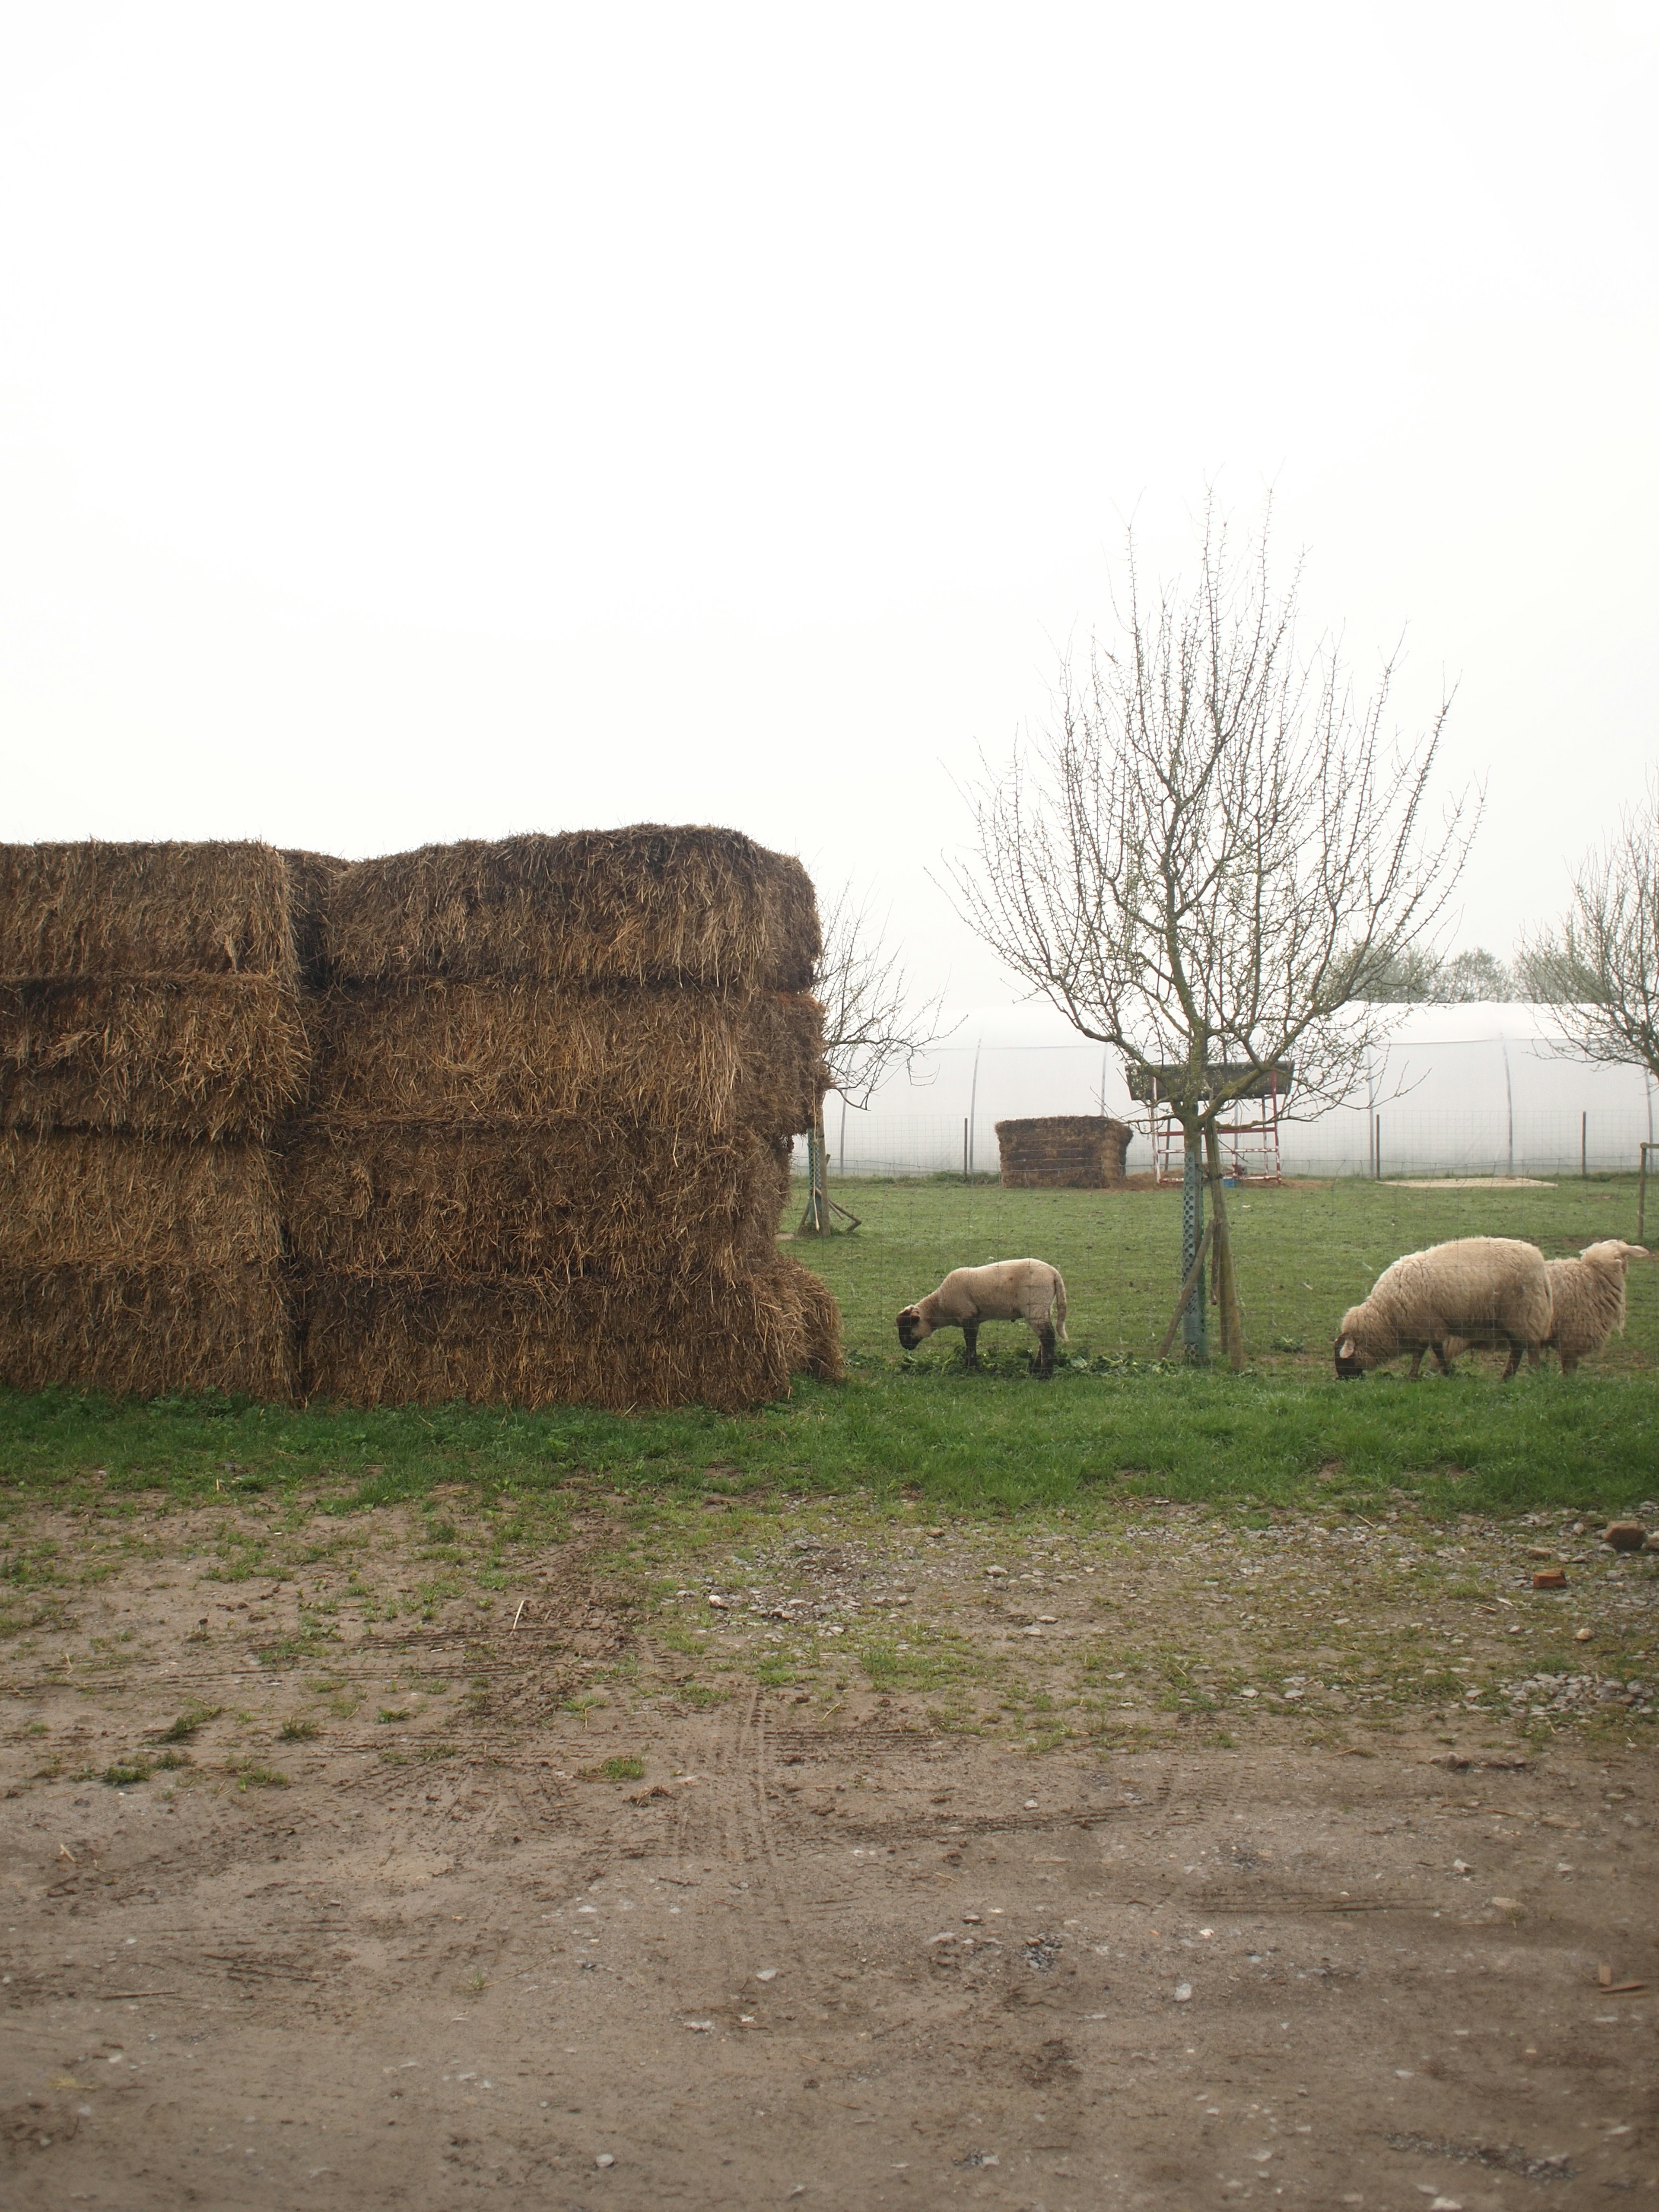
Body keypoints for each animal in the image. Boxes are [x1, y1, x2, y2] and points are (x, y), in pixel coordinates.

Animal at [902, 1265, 1071, 1380]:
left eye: (907, 1327)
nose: (905, 1346)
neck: (940, 1307)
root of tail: (1054, 1273)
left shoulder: (967, 1315)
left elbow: (970, 1341)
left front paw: (971, 1368)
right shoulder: (973, 1319)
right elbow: (971, 1342)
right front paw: (970, 1365)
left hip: (1036, 1304)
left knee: (1048, 1337)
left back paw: (1045, 1375)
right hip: (1042, 1307)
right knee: (1044, 1338)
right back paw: (1036, 1370)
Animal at [1336, 1239, 1557, 1371]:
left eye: (1342, 1359)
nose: (1342, 1381)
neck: (1387, 1313)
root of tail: (1540, 1263)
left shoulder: (1426, 1325)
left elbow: (1427, 1353)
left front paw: (1424, 1375)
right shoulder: (1428, 1326)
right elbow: (1432, 1351)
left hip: (1523, 1313)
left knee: (1528, 1349)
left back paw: (1529, 1374)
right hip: (1517, 1318)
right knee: (1519, 1349)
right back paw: (1508, 1378)